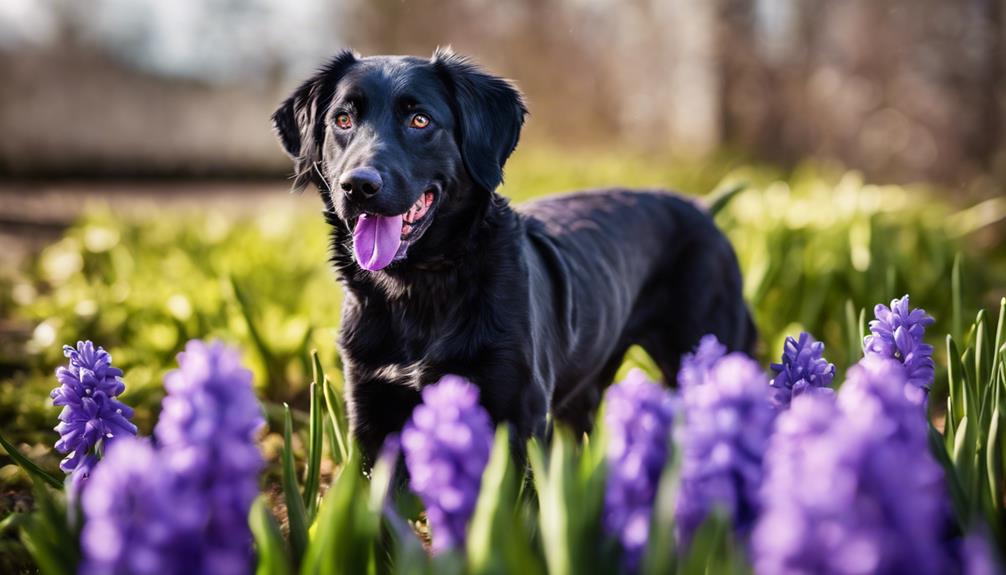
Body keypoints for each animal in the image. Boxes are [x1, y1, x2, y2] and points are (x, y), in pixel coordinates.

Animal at [271, 47, 752, 464]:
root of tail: (701, 208)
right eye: (343, 119)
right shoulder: (371, 411)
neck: (418, 290)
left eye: (420, 120)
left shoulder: (517, 414)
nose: (359, 185)